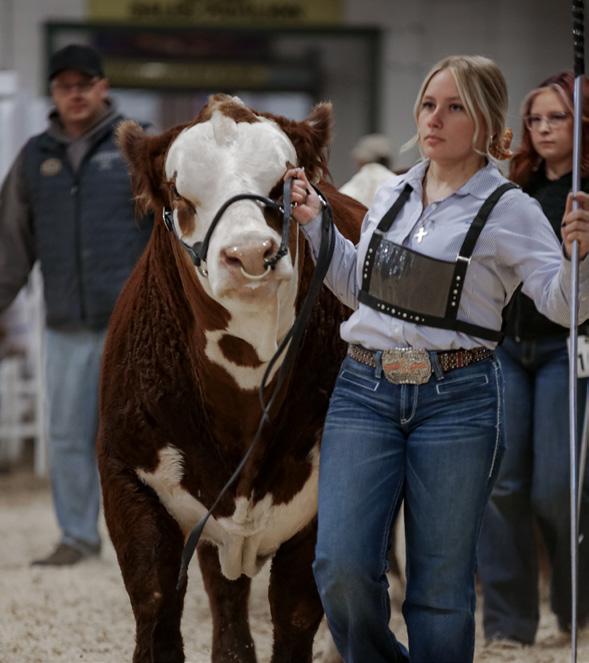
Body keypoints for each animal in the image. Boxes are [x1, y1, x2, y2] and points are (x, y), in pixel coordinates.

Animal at [96, 94, 365, 663]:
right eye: (180, 191)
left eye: (284, 180)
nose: (249, 254)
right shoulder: (126, 474)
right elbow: (154, 598)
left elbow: (296, 610)